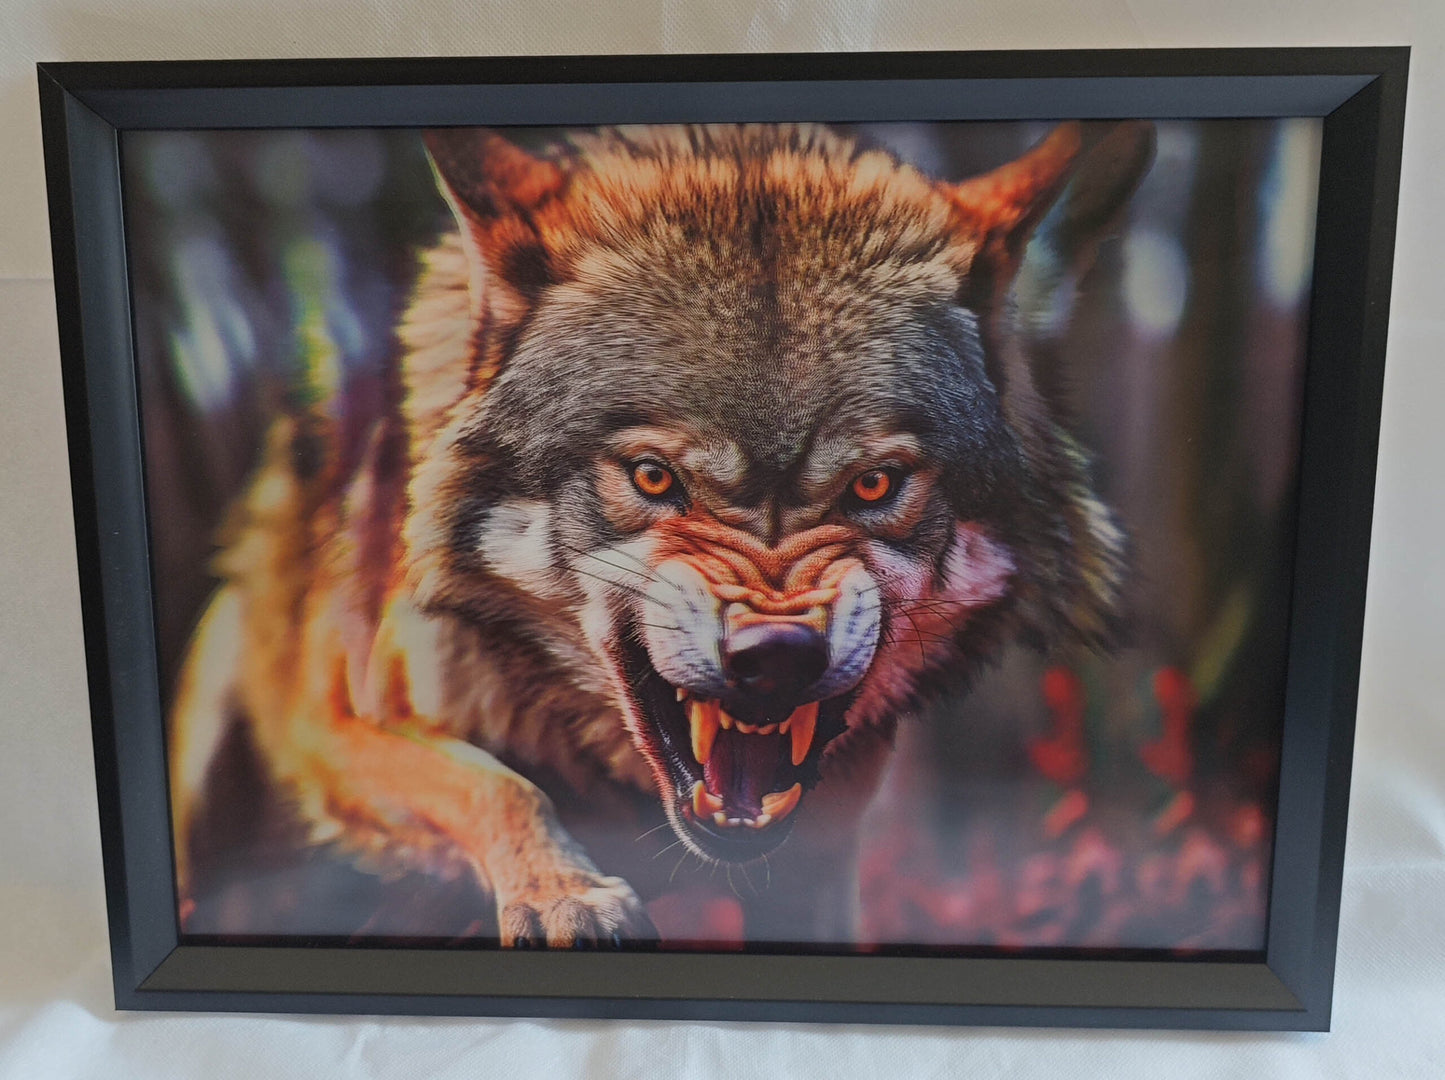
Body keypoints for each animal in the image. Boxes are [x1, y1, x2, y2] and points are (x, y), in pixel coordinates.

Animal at [168, 120, 1155, 947]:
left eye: (874, 485)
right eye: (652, 477)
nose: (776, 658)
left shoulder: (824, 853)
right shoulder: (335, 731)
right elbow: (498, 785)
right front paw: (565, 895)